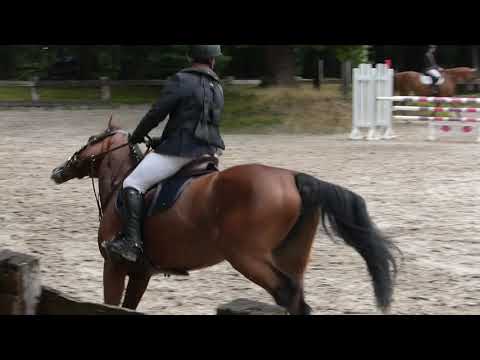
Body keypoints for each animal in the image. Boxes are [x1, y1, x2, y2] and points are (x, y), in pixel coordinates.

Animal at [50, 118, 400, 316]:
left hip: (247, 257)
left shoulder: (115, 265)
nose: (58, 170)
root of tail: (294, 177)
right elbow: (129, 307)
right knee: (297, 300)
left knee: (286, 293)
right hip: (290, 255)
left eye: (90, 141)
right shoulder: (141, 272)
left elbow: (110, 305)